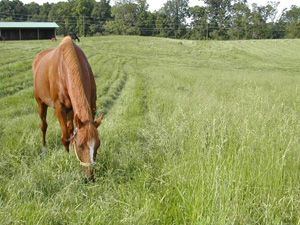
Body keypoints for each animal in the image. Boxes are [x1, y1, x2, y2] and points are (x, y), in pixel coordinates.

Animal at [33, 35, 103, 179]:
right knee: (44, 125)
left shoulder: (91, 105)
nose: (89, 177)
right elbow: (65, 136)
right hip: (41, 103)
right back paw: (44, 147)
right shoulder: (60, 107)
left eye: (98, 145)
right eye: (80, 146)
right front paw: (68, 155)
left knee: (70, 127)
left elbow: (71, 131)